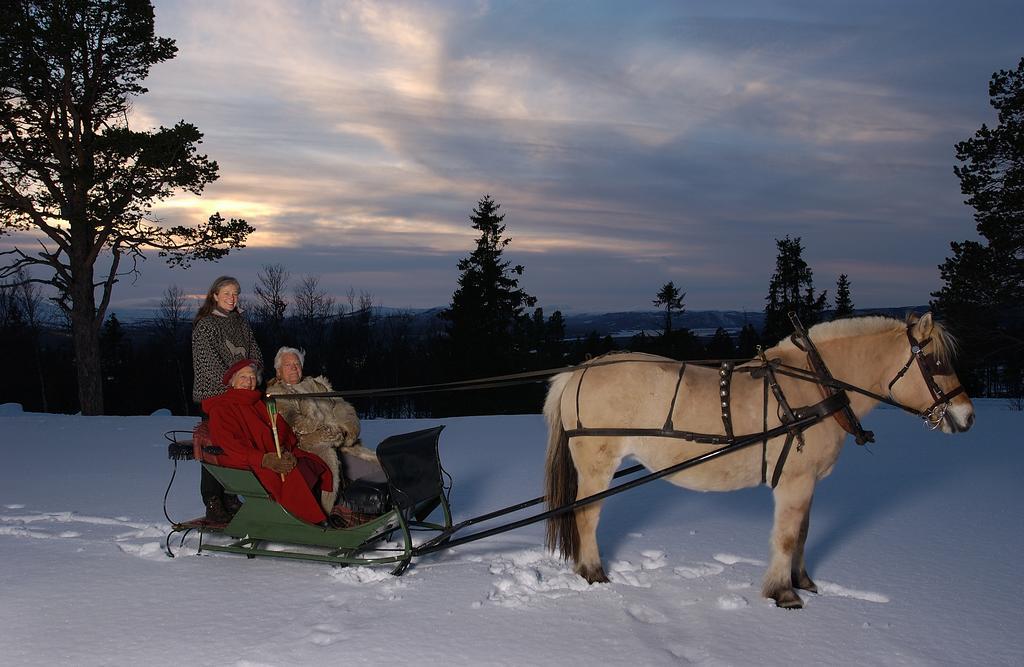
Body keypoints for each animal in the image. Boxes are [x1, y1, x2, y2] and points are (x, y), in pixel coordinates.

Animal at [540, 313, 970, 610]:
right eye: (936, 364)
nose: (967, 417)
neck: (815, 386)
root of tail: (577, 372)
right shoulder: (795, 481)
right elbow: (786, 536)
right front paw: (783, 593)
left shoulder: (807, 482)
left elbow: (803, 533)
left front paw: (802, 581)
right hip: (597, 466)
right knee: (586, 516)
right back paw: (593, 572)